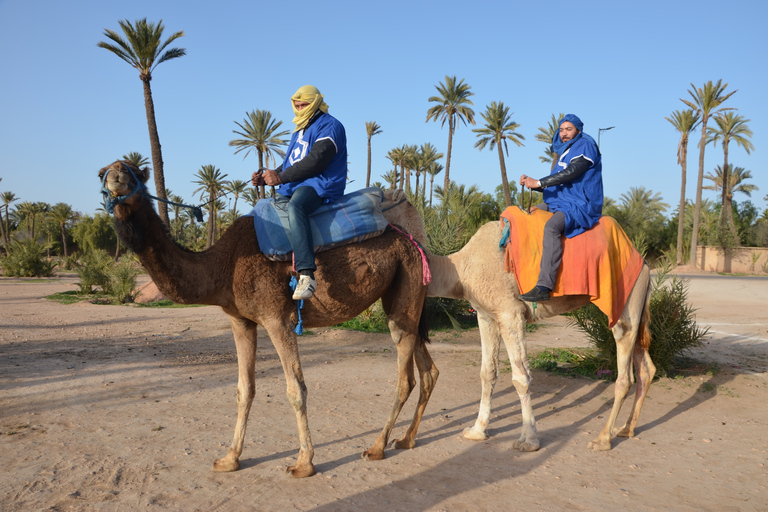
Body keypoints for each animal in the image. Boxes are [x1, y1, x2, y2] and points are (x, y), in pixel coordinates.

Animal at [99, 162, 440, 478]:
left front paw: (303, 464)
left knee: (406, 377)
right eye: (104, 171)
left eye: (132, 172)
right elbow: (244, 388)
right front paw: (229, 459)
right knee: (428, 370)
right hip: (406, 299)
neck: (223, 266)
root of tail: (412, 240)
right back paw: (406, 439)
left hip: (405, 286)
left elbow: (295, 390)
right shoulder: (240, 320)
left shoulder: (278, 318)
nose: (115, 178)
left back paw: (376, 447)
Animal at [382, 190, 656, 450]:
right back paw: (626, 429)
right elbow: (487, 372)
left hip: (625, 300)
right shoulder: (486, 315)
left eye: (379, 195)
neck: (460, 269)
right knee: (646, 368)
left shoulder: (510, 313)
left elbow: (521, 377)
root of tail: (644, 264)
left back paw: (603, 439)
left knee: (625, 370)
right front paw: (477, 430)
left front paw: (529, 440)